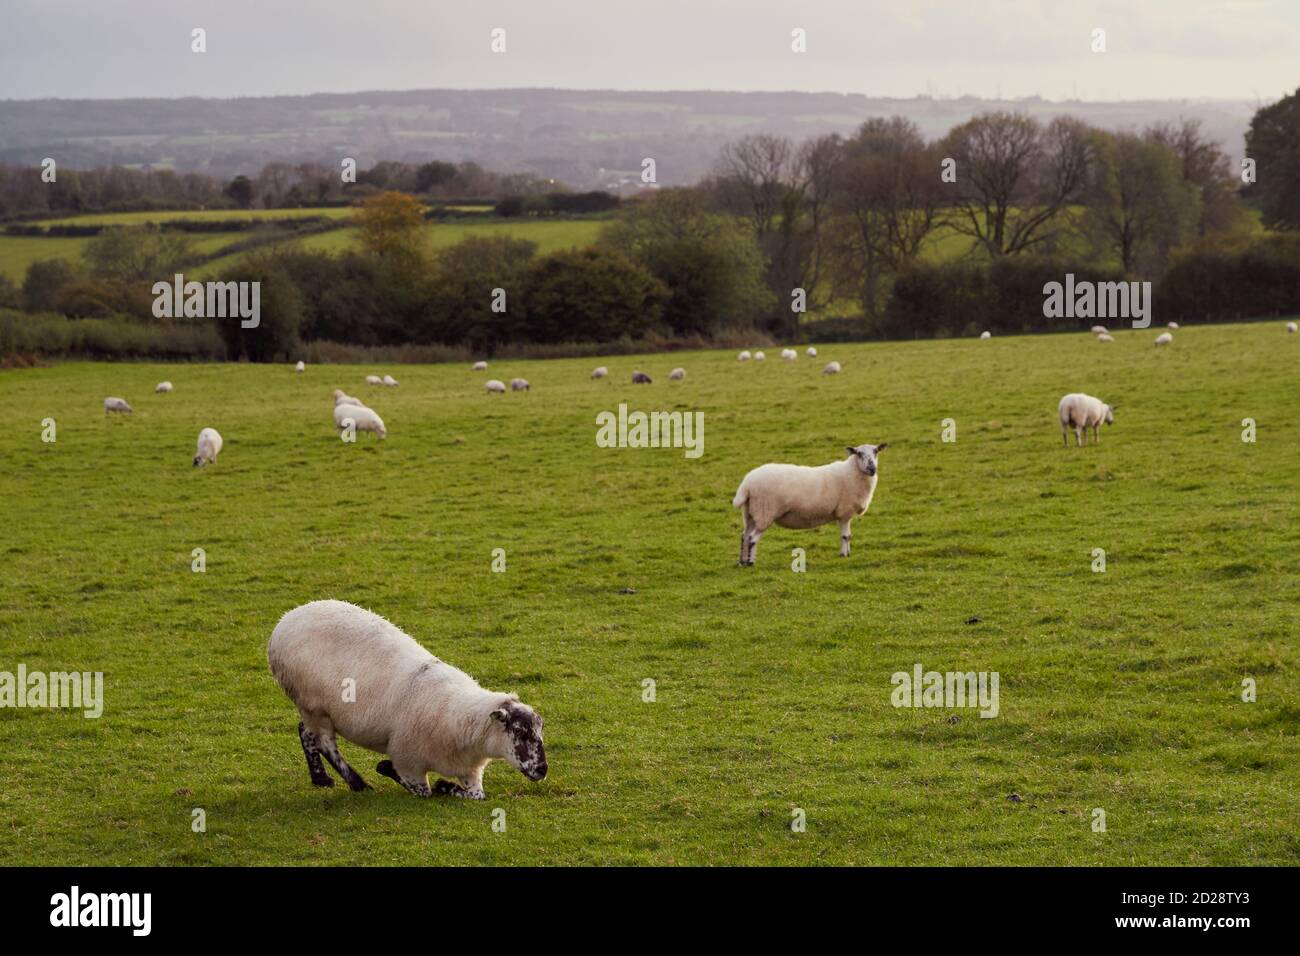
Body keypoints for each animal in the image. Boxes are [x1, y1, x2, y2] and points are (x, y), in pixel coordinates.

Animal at [266, 598, 546, 801]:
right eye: (519, 731)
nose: (543, 770)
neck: (461, 718)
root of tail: (286, 620)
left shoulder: (470, 771)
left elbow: (477, 795)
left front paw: (447, 787)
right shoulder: (408, 760)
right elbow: (423, 790)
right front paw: (389, 770)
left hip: (312, 708)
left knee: (306, 732)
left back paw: (321, 779)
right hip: (314, 703)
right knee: (324, 741)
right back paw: (358, 784)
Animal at [728, 444, 889, 564]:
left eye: (876, 452)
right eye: (859, 453)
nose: (872, 469)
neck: (852, 473)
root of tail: (747, 484)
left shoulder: (845, 515)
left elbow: (848, 535)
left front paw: (847, 553)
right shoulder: (844, 512)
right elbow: (845, 536)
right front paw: (844, 554)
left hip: (750, 513)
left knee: (744, 536)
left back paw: (742, 561)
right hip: (764, 512)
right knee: (752, 538)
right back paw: (750, 562)